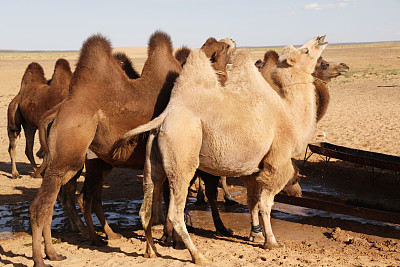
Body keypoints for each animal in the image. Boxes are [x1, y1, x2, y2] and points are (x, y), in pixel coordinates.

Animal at [115, 35, 328, 264]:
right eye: (306, 51)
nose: (321, 38)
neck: (289, 115)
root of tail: (165, 117)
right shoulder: (276, 159)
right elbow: (266, 203)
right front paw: (271, 242)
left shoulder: (252, 168)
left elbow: (252, 201)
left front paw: (255, 234)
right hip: (182, 150)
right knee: (175, 211)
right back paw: (198, 255)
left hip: (154, 157)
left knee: (146, 206)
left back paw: (151, 251)